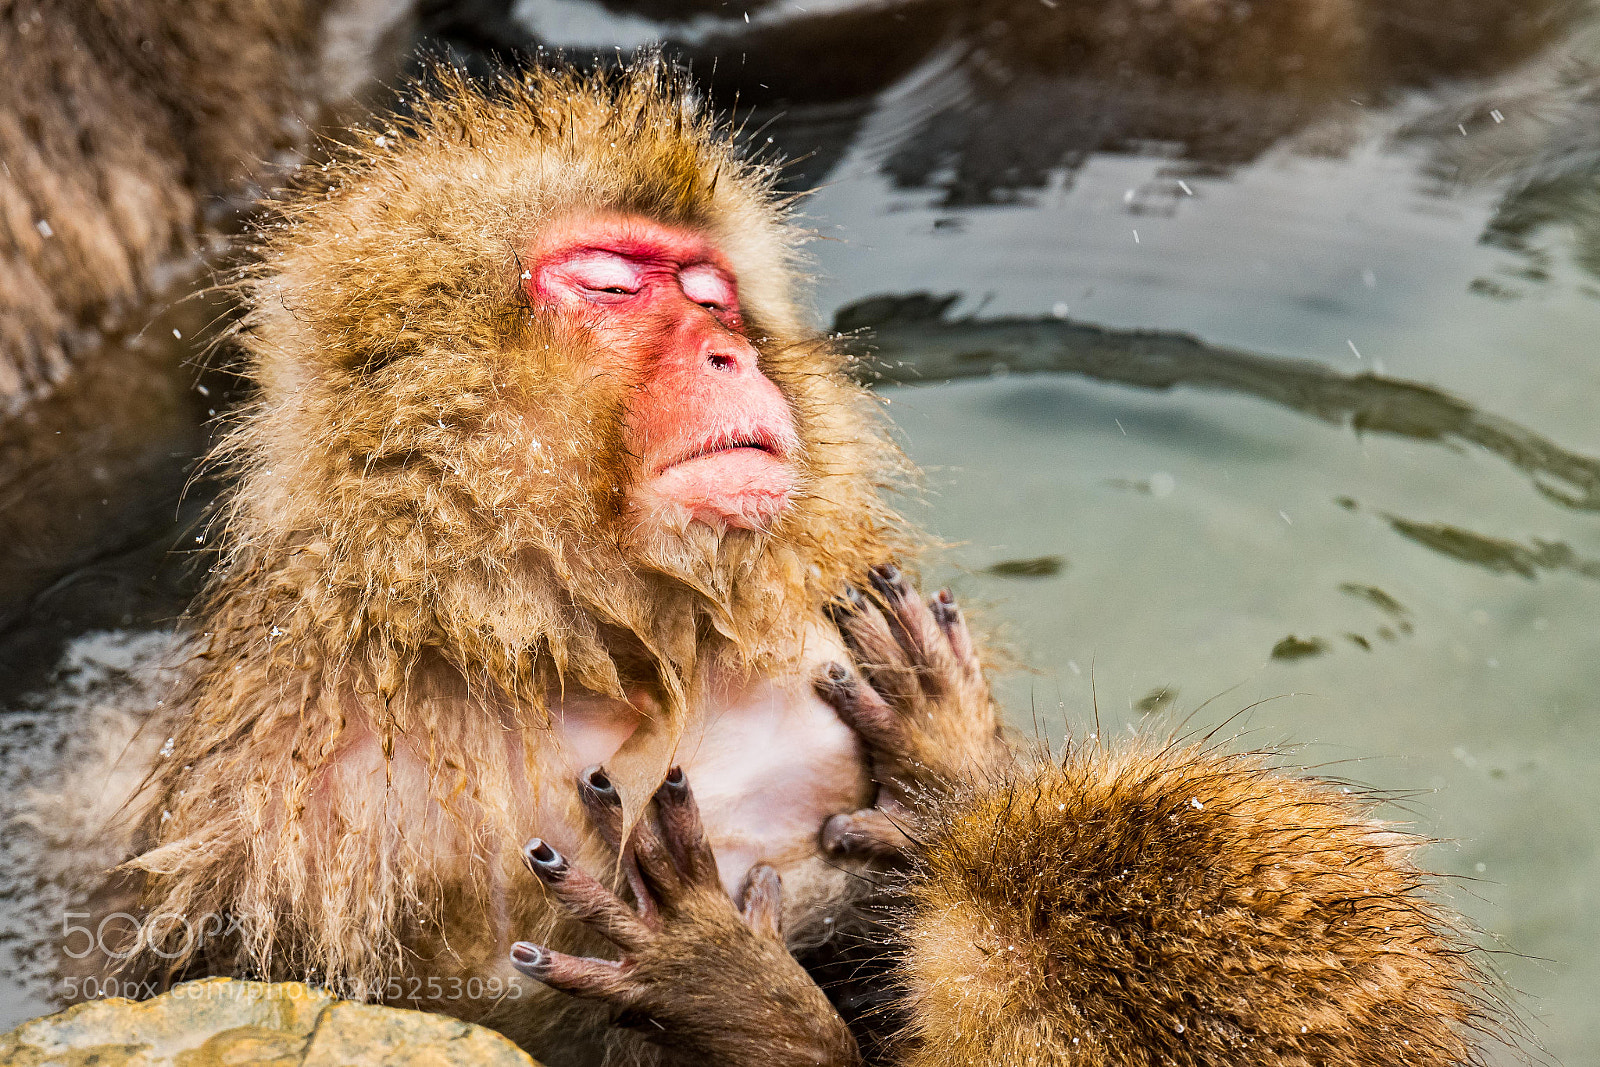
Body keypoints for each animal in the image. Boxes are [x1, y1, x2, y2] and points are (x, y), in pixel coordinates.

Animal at [84, 57, 918, 1065]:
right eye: (610, 288)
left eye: (711, 296)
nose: (731, 354)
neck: (583, 654)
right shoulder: (297, 808)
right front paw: (729, 985)